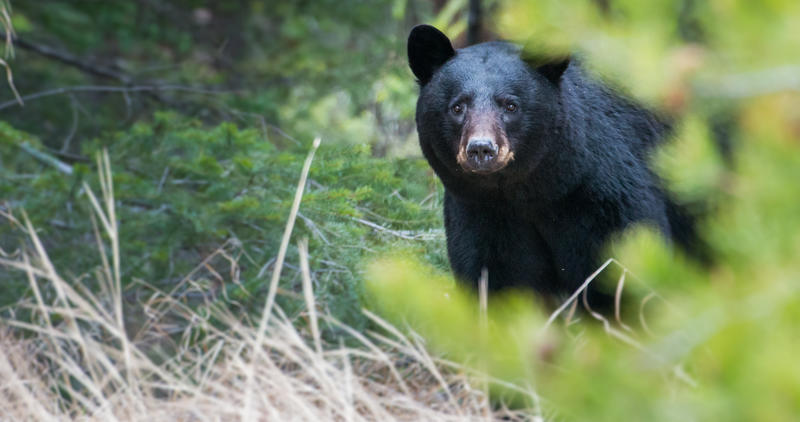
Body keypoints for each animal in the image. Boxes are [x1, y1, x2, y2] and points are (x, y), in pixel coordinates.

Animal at [407, 24, 699, 306]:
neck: (533, 192)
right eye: (457, 107)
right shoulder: (482, 212)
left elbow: (618, 268)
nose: (481, 148)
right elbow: (497, 277)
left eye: (511, 105)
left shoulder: (603, 197)